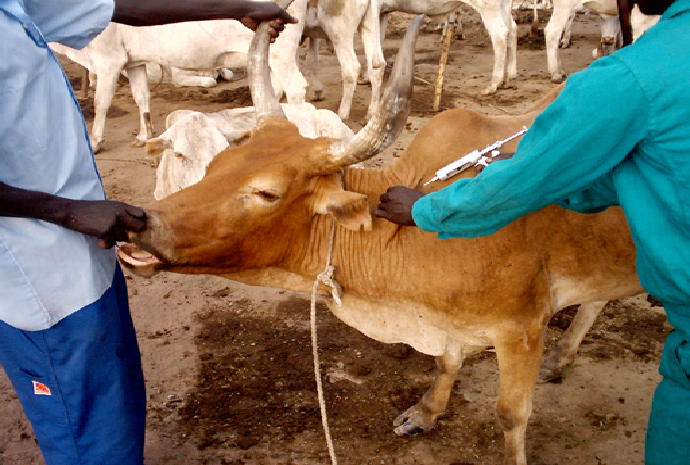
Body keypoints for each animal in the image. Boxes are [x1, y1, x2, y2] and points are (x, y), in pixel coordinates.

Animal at [48, 0, 306, 153]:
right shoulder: (134, 63)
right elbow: (141, 96)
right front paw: (144, 135)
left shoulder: (108, 62)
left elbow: (100, 104)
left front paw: (94, 142)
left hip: (281, 55)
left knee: (296, 87)